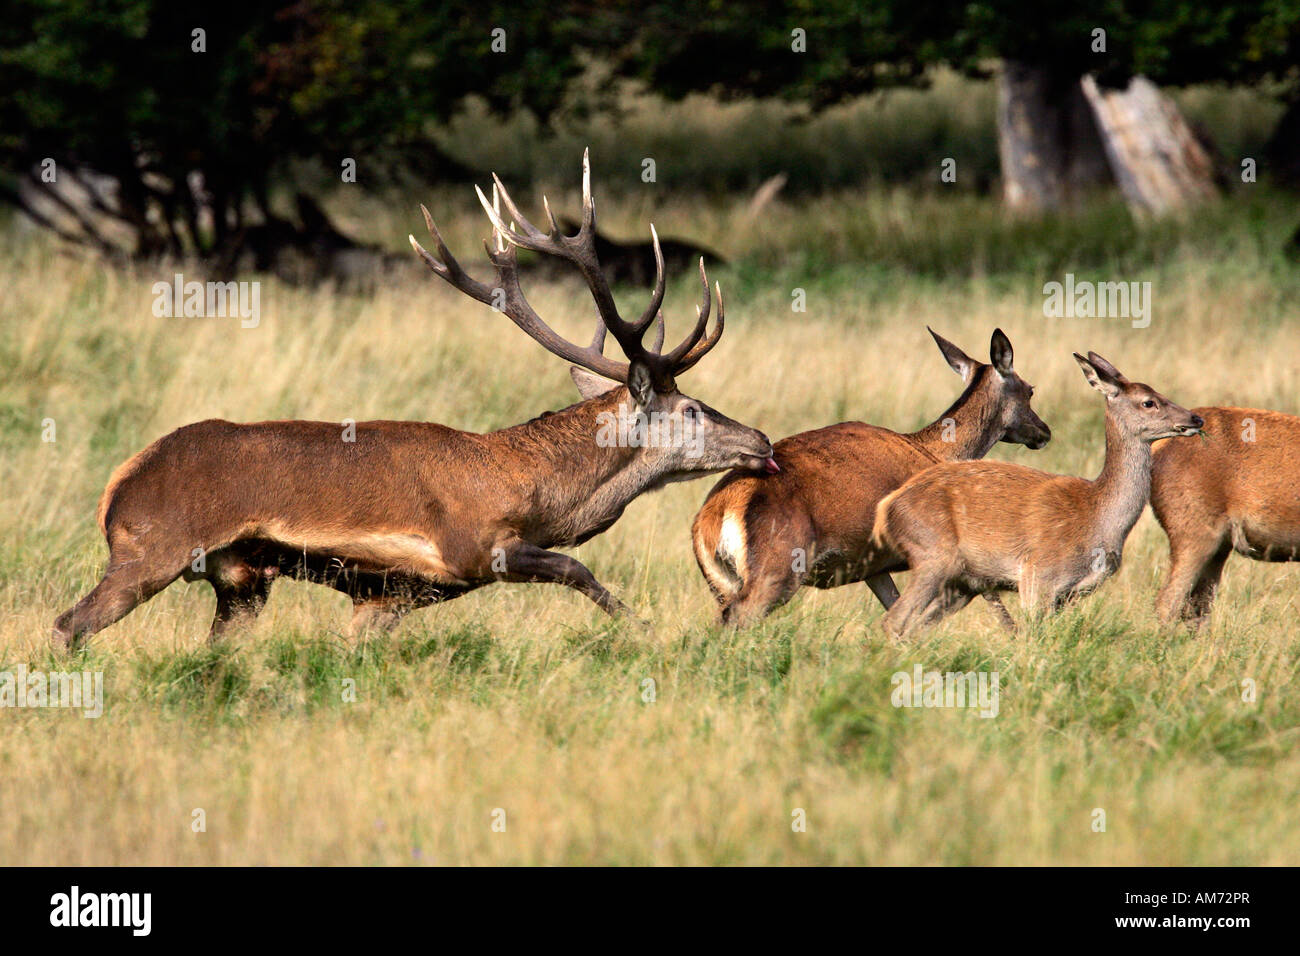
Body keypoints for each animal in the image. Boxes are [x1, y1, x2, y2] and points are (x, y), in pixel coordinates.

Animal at [55, 155, 774, 650]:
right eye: (692, 409)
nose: (762, 442)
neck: (535, 490)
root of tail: (115, 489)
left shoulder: (388, 597)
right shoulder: (471, 546)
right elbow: (580, 571)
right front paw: (649, 631)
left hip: (242, 583)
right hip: (153, 549)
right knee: (69, 624)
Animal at [691, 329, 1045, 629]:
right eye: (1030, 390)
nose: (1044, 432)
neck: (937, 451)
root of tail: (714, 514)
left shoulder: (873, 567)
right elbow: (996, 607)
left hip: (722, 580)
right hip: (777, 569)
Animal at [878, 348, 1201, 634]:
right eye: (1148, 402)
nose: (1195, 418)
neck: (1097, 516)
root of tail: (888, 507)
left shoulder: (1067, 595)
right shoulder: (1037, 576)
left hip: (962, 582)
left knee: (915, 627)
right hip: (932, 556)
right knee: (894, 620)